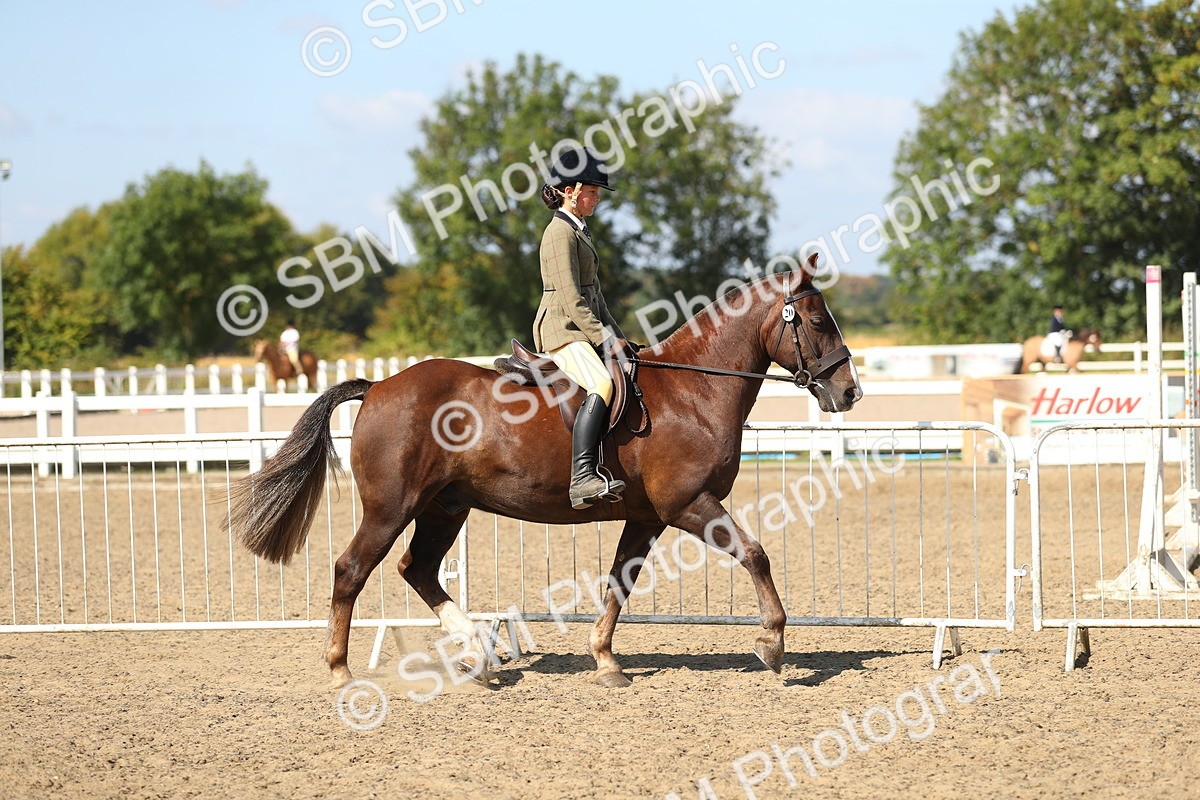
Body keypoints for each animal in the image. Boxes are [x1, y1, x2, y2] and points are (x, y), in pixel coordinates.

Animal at [226, 255, 862, 690]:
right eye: (816, 321)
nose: (850, 392)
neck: (693, 391)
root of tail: (379, 386)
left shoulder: (647, 517)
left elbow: (618, 583)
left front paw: (605, 661)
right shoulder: (689, 505)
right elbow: (756, 554)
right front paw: (772, 644)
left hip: (444, 508)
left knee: (418, 569)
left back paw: (478, 654)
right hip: (391, 508)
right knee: (351, 570)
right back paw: (341, 670)